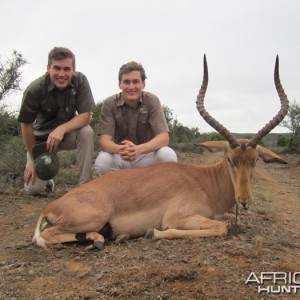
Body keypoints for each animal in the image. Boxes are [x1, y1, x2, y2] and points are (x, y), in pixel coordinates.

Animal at [32, 55, 288, 250]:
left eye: (254, 162)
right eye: (230, 160)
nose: (244, 201)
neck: (204, 183)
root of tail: (50, 207)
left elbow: (222, 222)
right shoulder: (177, 217)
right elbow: (220, 227)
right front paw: (153, 233)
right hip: (93, 217)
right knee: (46, 236)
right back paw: (100, 239)